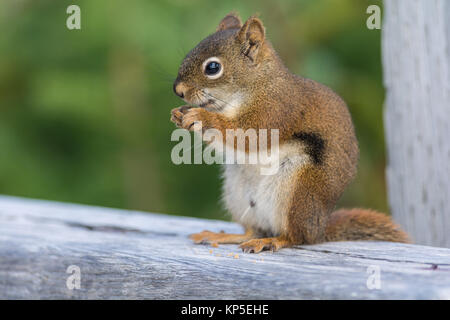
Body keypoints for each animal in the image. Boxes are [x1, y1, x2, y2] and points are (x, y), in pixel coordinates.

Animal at [171, 12, 410, 252]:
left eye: (212, 68)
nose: (178, 90)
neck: (257, 84)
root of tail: (319, 229)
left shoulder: (276, 110)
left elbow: (249, 136)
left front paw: (201, 117)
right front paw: (179, 114)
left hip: (297, 190)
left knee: (295, 237)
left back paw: (271, 241)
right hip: (237, 193)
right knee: (254, 229)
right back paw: (225, 236)